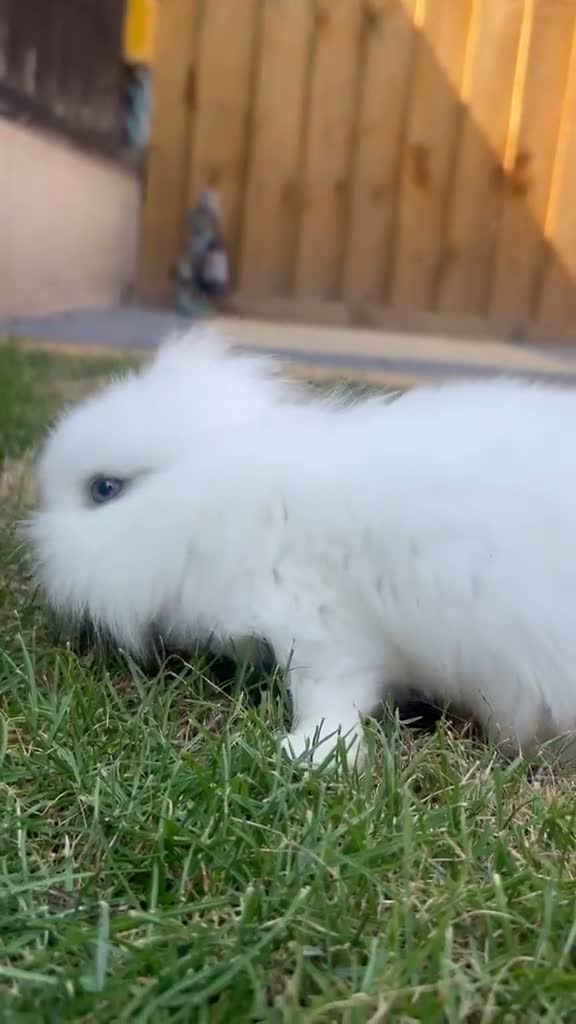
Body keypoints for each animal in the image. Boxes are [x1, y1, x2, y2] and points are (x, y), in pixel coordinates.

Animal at [29, 325, 576, 767]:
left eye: (104, 489)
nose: (36, 545)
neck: (216, 504)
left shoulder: (321, 626)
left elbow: (330, 696)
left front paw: (307, 754)